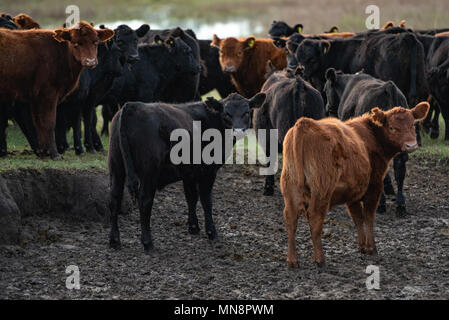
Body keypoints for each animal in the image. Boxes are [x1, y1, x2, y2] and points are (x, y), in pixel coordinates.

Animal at [0, 21, 114, 159]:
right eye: (76, 43)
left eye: (95, 42)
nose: (90, 61)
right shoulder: (49, 94)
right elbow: (49, 123)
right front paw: (54, 153)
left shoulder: (35, 98)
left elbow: (39, 124)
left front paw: (44, 152)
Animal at [108, 91, 266, 251]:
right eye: (227, 114)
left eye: (246, 112)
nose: (238, 131)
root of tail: (132, 105)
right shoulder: (208, 171)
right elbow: (206, 200)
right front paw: (211, 232)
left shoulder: (189, 172)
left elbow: (191, 197)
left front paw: (193, 227)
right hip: (148, 171)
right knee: (145, 201)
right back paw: (147, 242)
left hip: (116, 166)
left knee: (114, 198)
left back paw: (114, 240)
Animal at [278, 102, 428, 268]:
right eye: (392, 127)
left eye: (412, 124)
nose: (411, 145)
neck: (370, 137)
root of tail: (304, 123)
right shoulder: (374, 186)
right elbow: (368, 216)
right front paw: (371, 248)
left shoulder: (353, 192)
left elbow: (357, 218)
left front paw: (362, 246)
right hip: (321, 189)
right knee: (315, 217)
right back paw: (319, 258)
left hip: (290, 187)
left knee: (291, 219)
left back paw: (292, 260)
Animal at [324, 67, 412, 218]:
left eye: (325, 89)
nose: (327, 107)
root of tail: (388, 86)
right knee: (400, 168)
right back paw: (400, 205)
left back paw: (380, 204)